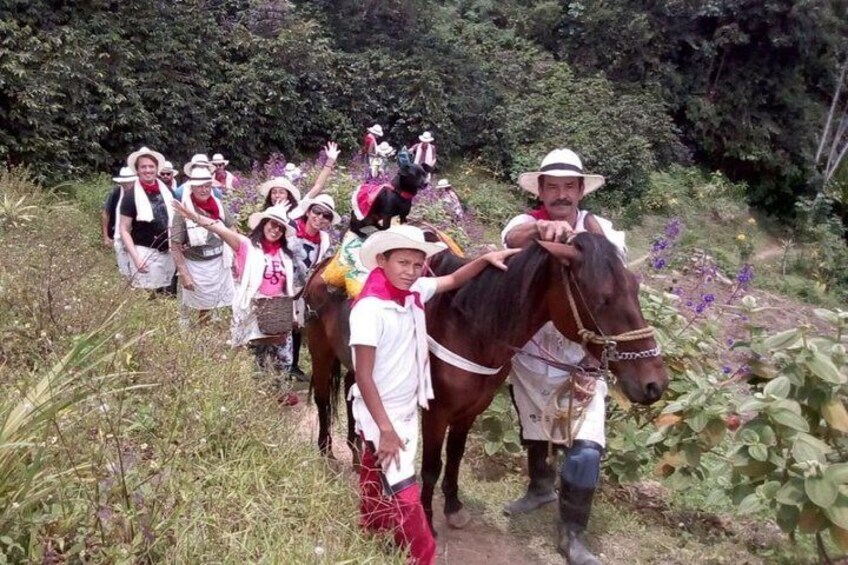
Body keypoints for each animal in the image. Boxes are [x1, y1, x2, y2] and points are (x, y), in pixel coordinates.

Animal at [304, 230, 668, 528]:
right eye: (602, 298)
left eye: (635, 288)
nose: (655, 384)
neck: (469, 328)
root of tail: (322, 266)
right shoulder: (436, 412)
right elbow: (432, 465)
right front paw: (428, 517)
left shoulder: (470, 410)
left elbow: (456, 456)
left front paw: (453, 506)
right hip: (320, 350)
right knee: (323, 399)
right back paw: (326, 453)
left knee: (353, 399)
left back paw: (356, 457)